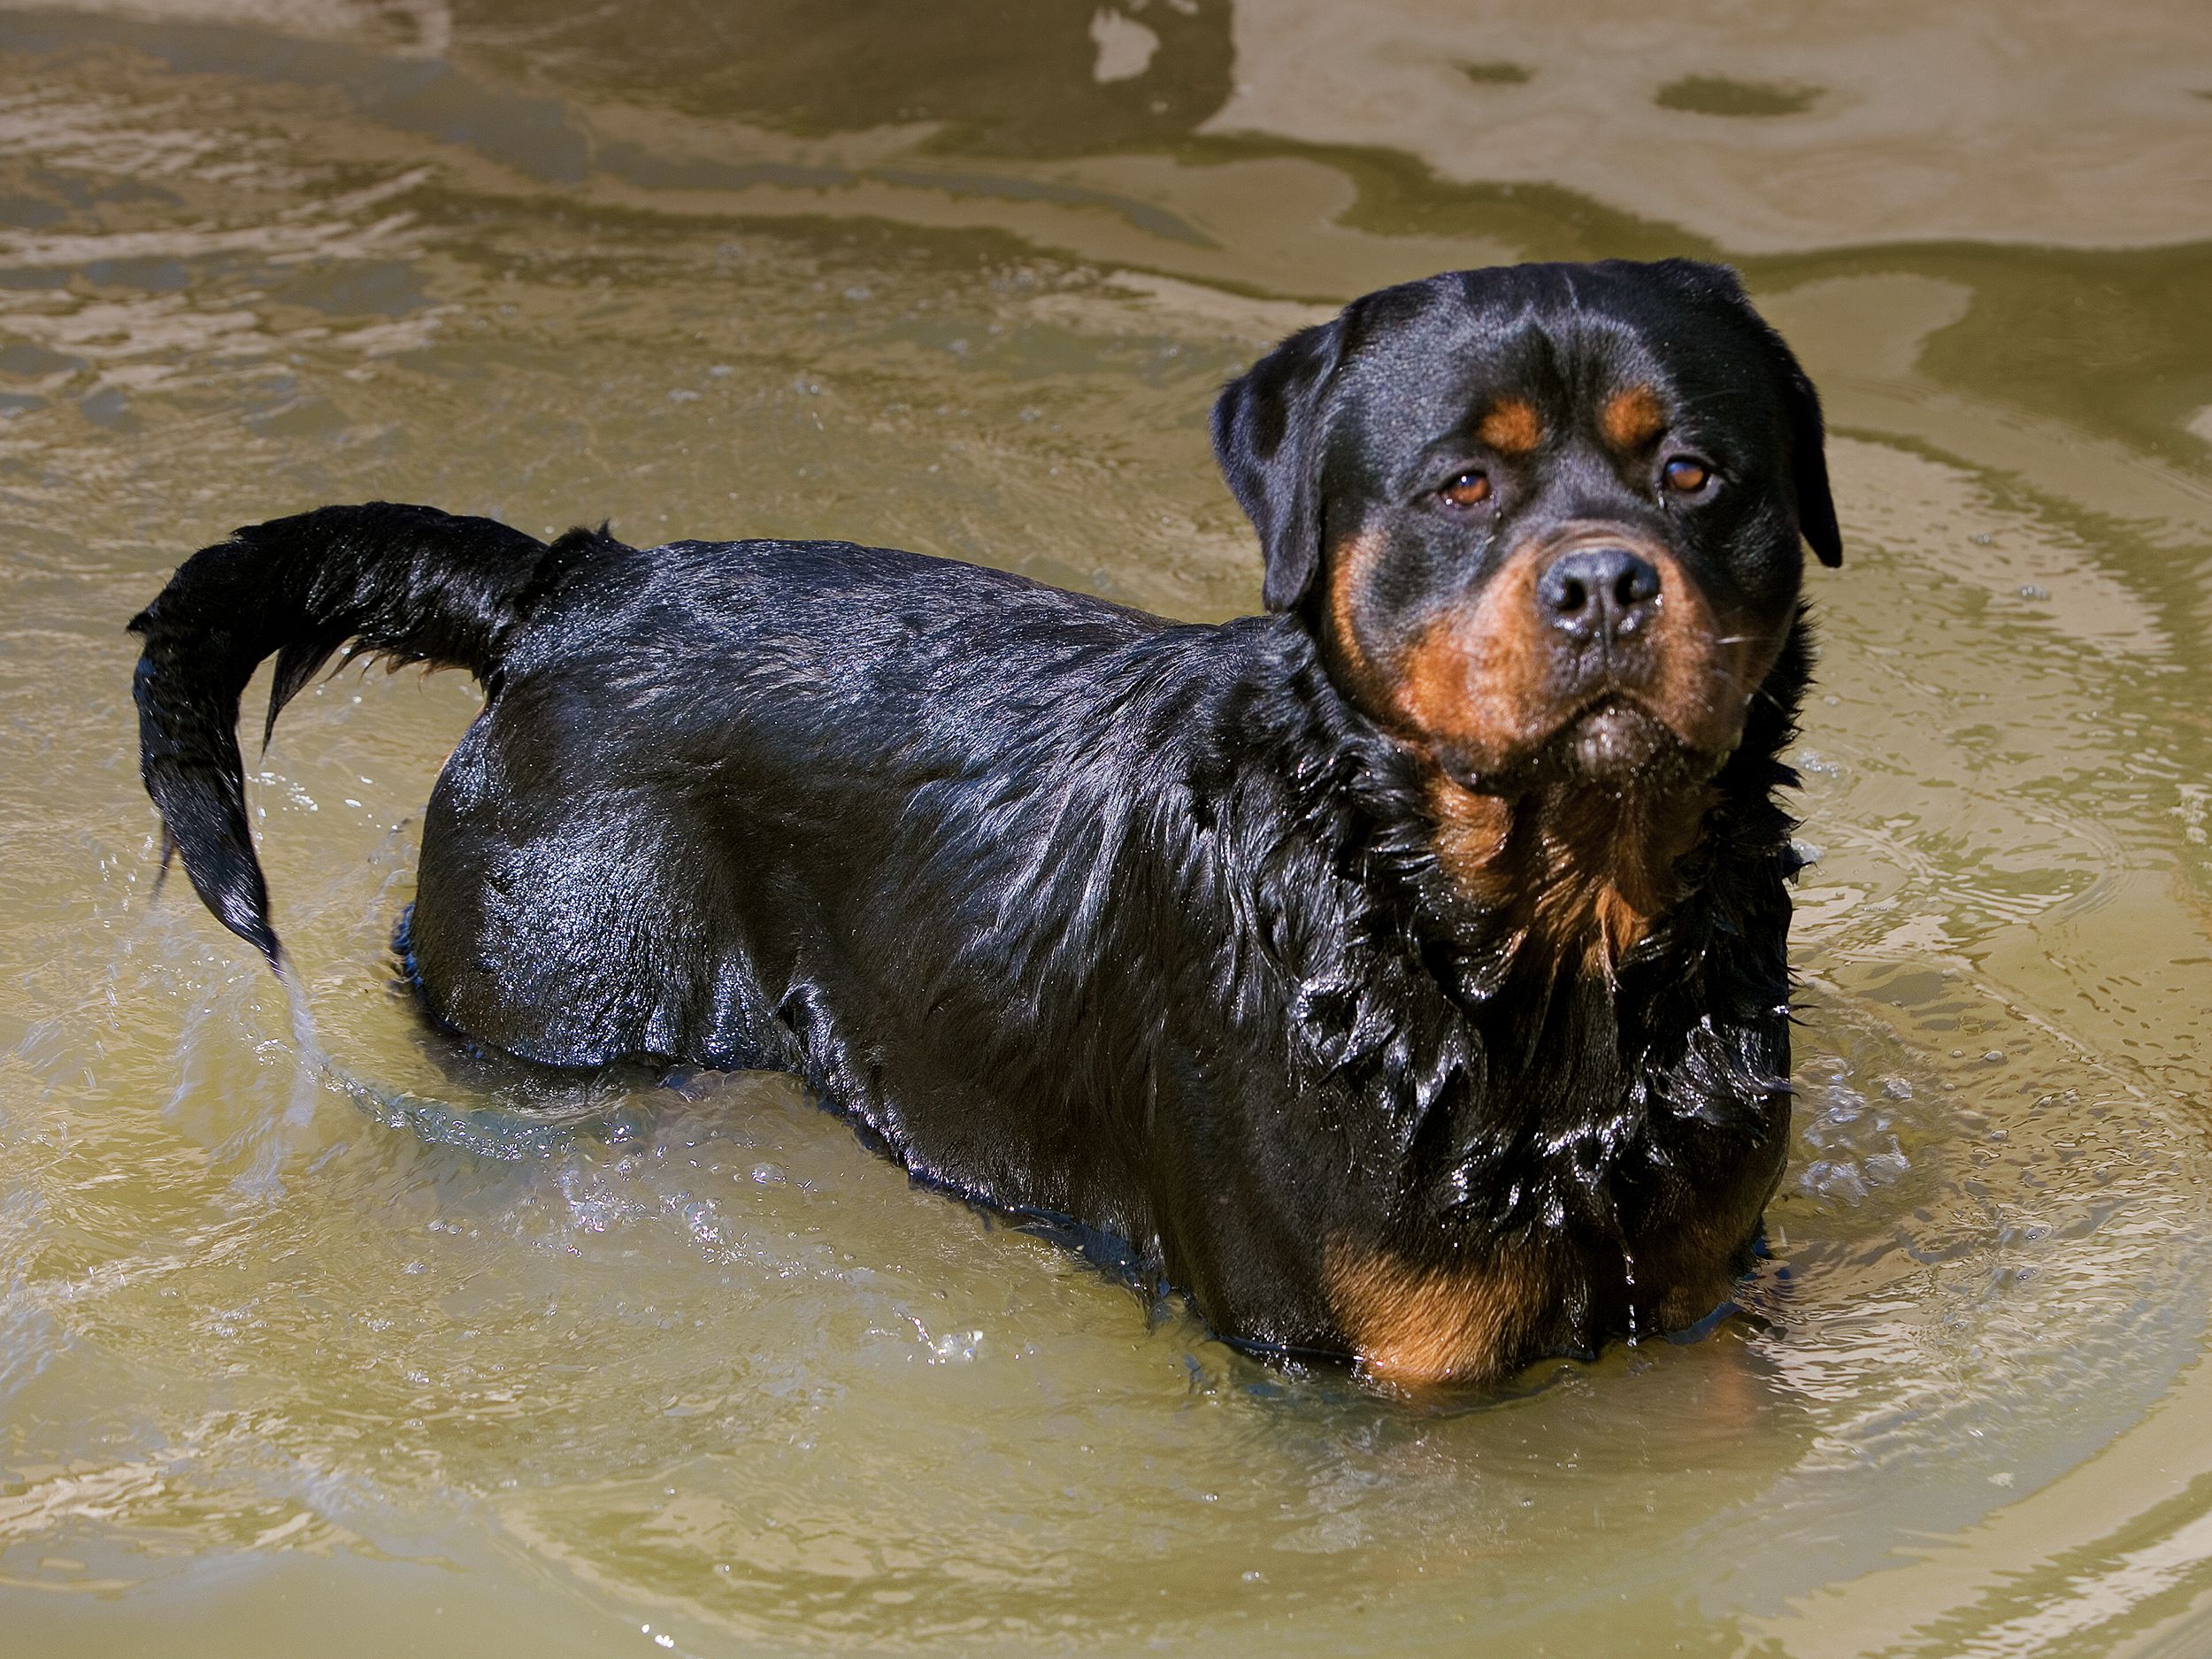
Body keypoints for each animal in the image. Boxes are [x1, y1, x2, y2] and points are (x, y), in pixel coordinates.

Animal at [129, 259, 1840, 1389]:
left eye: (1696, 470)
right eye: (1465, 487)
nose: (1605, 579)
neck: (1540, 947)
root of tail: (572, 587)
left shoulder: (1708, 1294)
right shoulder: (1358, 1364)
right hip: (551, 989)